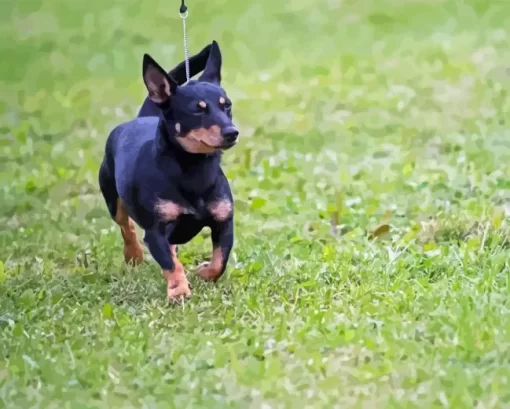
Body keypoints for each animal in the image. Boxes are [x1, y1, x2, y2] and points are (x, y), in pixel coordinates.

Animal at [99, 41, 239, 302]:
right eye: (198, 110)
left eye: (227, 106)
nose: (232, 132)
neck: (193, 170)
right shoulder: (155, 232)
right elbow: (171, 265)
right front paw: (179, 292)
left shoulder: (224, 222)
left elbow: (220, 260)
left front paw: (204, 273)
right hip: (112, 198)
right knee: (126, 226)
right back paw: (133, 254)